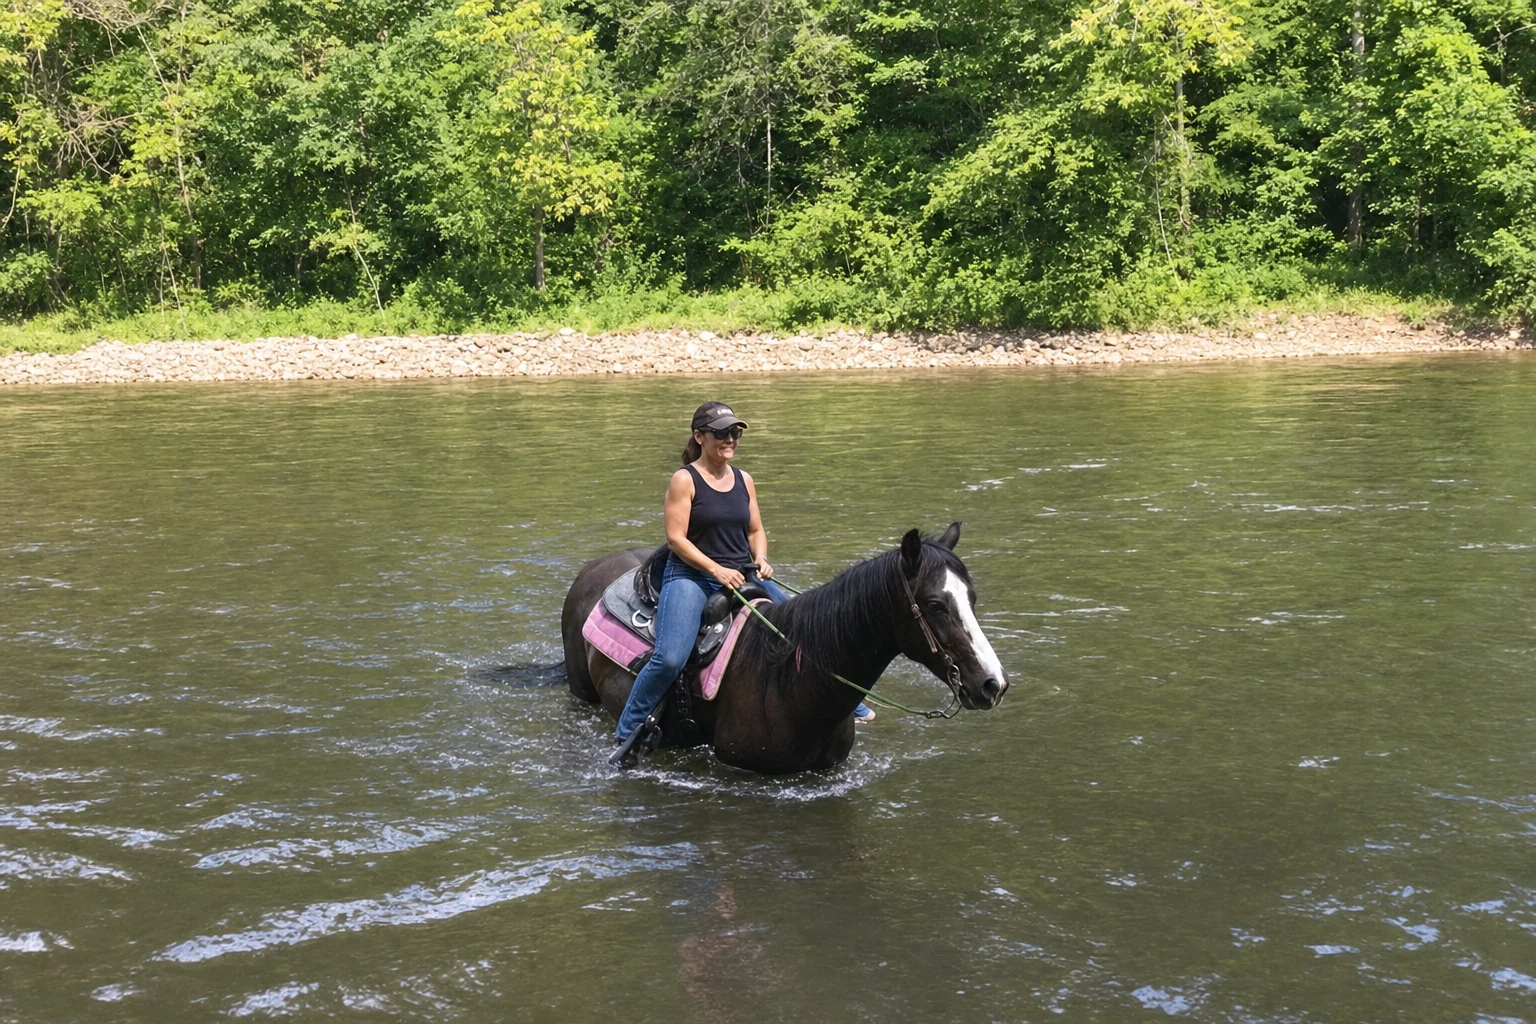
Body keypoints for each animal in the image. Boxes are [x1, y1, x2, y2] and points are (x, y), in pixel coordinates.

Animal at [560, 522, 1010, 775]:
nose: (994, 684)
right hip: (582, 692)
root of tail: (596, 566)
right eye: (935, 604)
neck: (793, 680)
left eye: (971, 597)